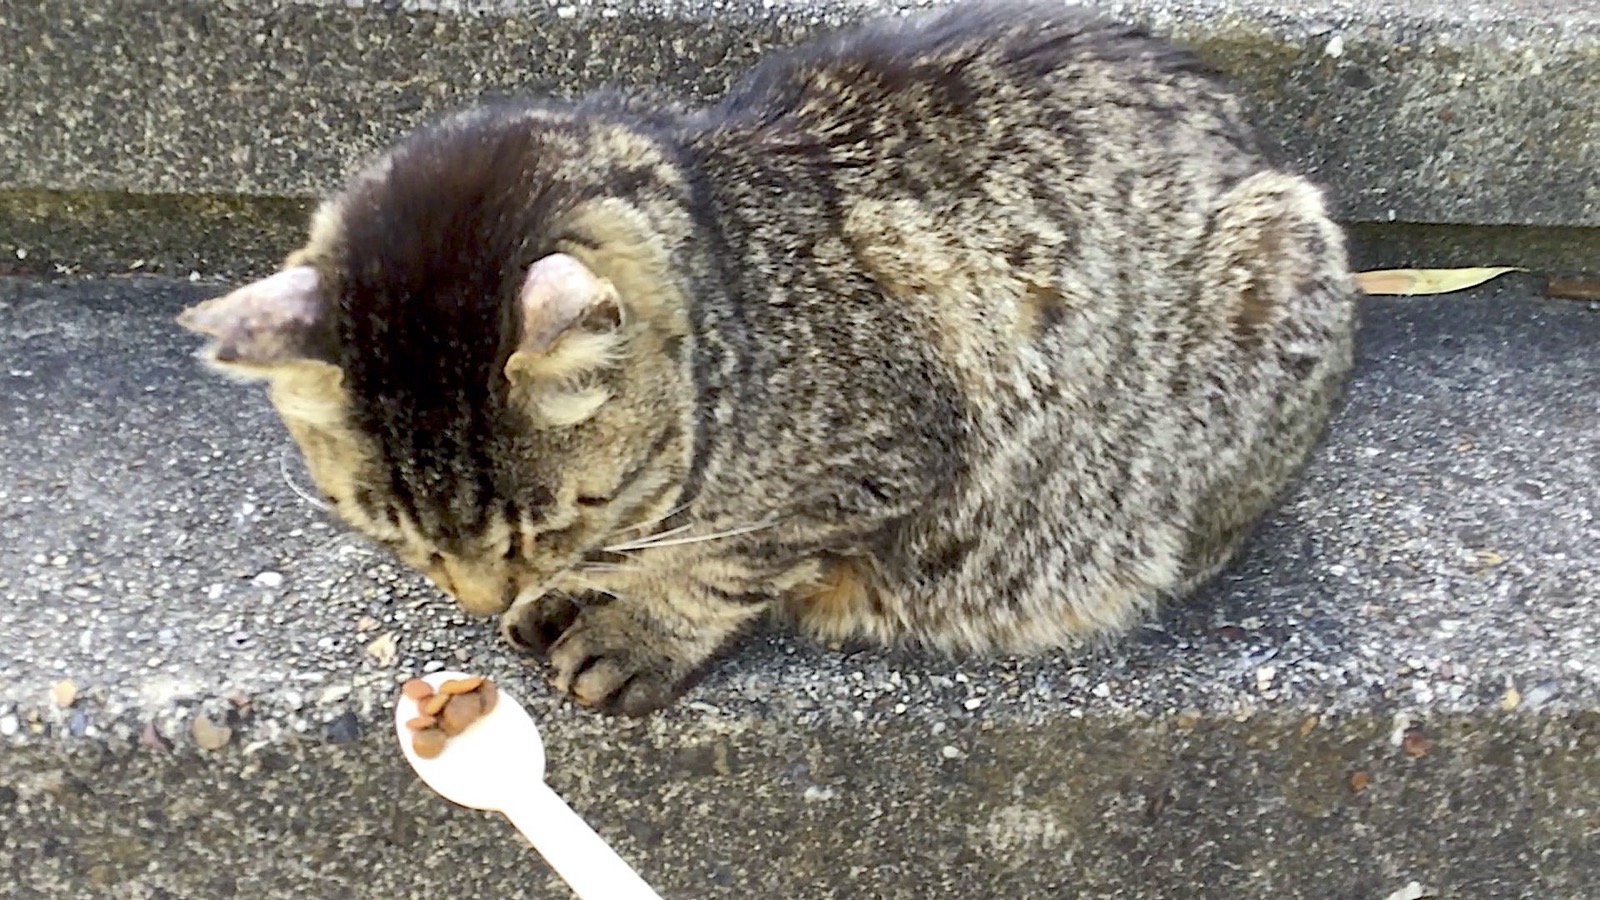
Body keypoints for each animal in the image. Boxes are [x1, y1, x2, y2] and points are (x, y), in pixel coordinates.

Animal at [187, 3, 1363, 711]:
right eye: (392, 534)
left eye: (549, 521)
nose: (476, 598)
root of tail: (1249, 134)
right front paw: (569, 594)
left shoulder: (884, 453)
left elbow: (730, 562)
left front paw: (637, 624)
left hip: (1275, 263)